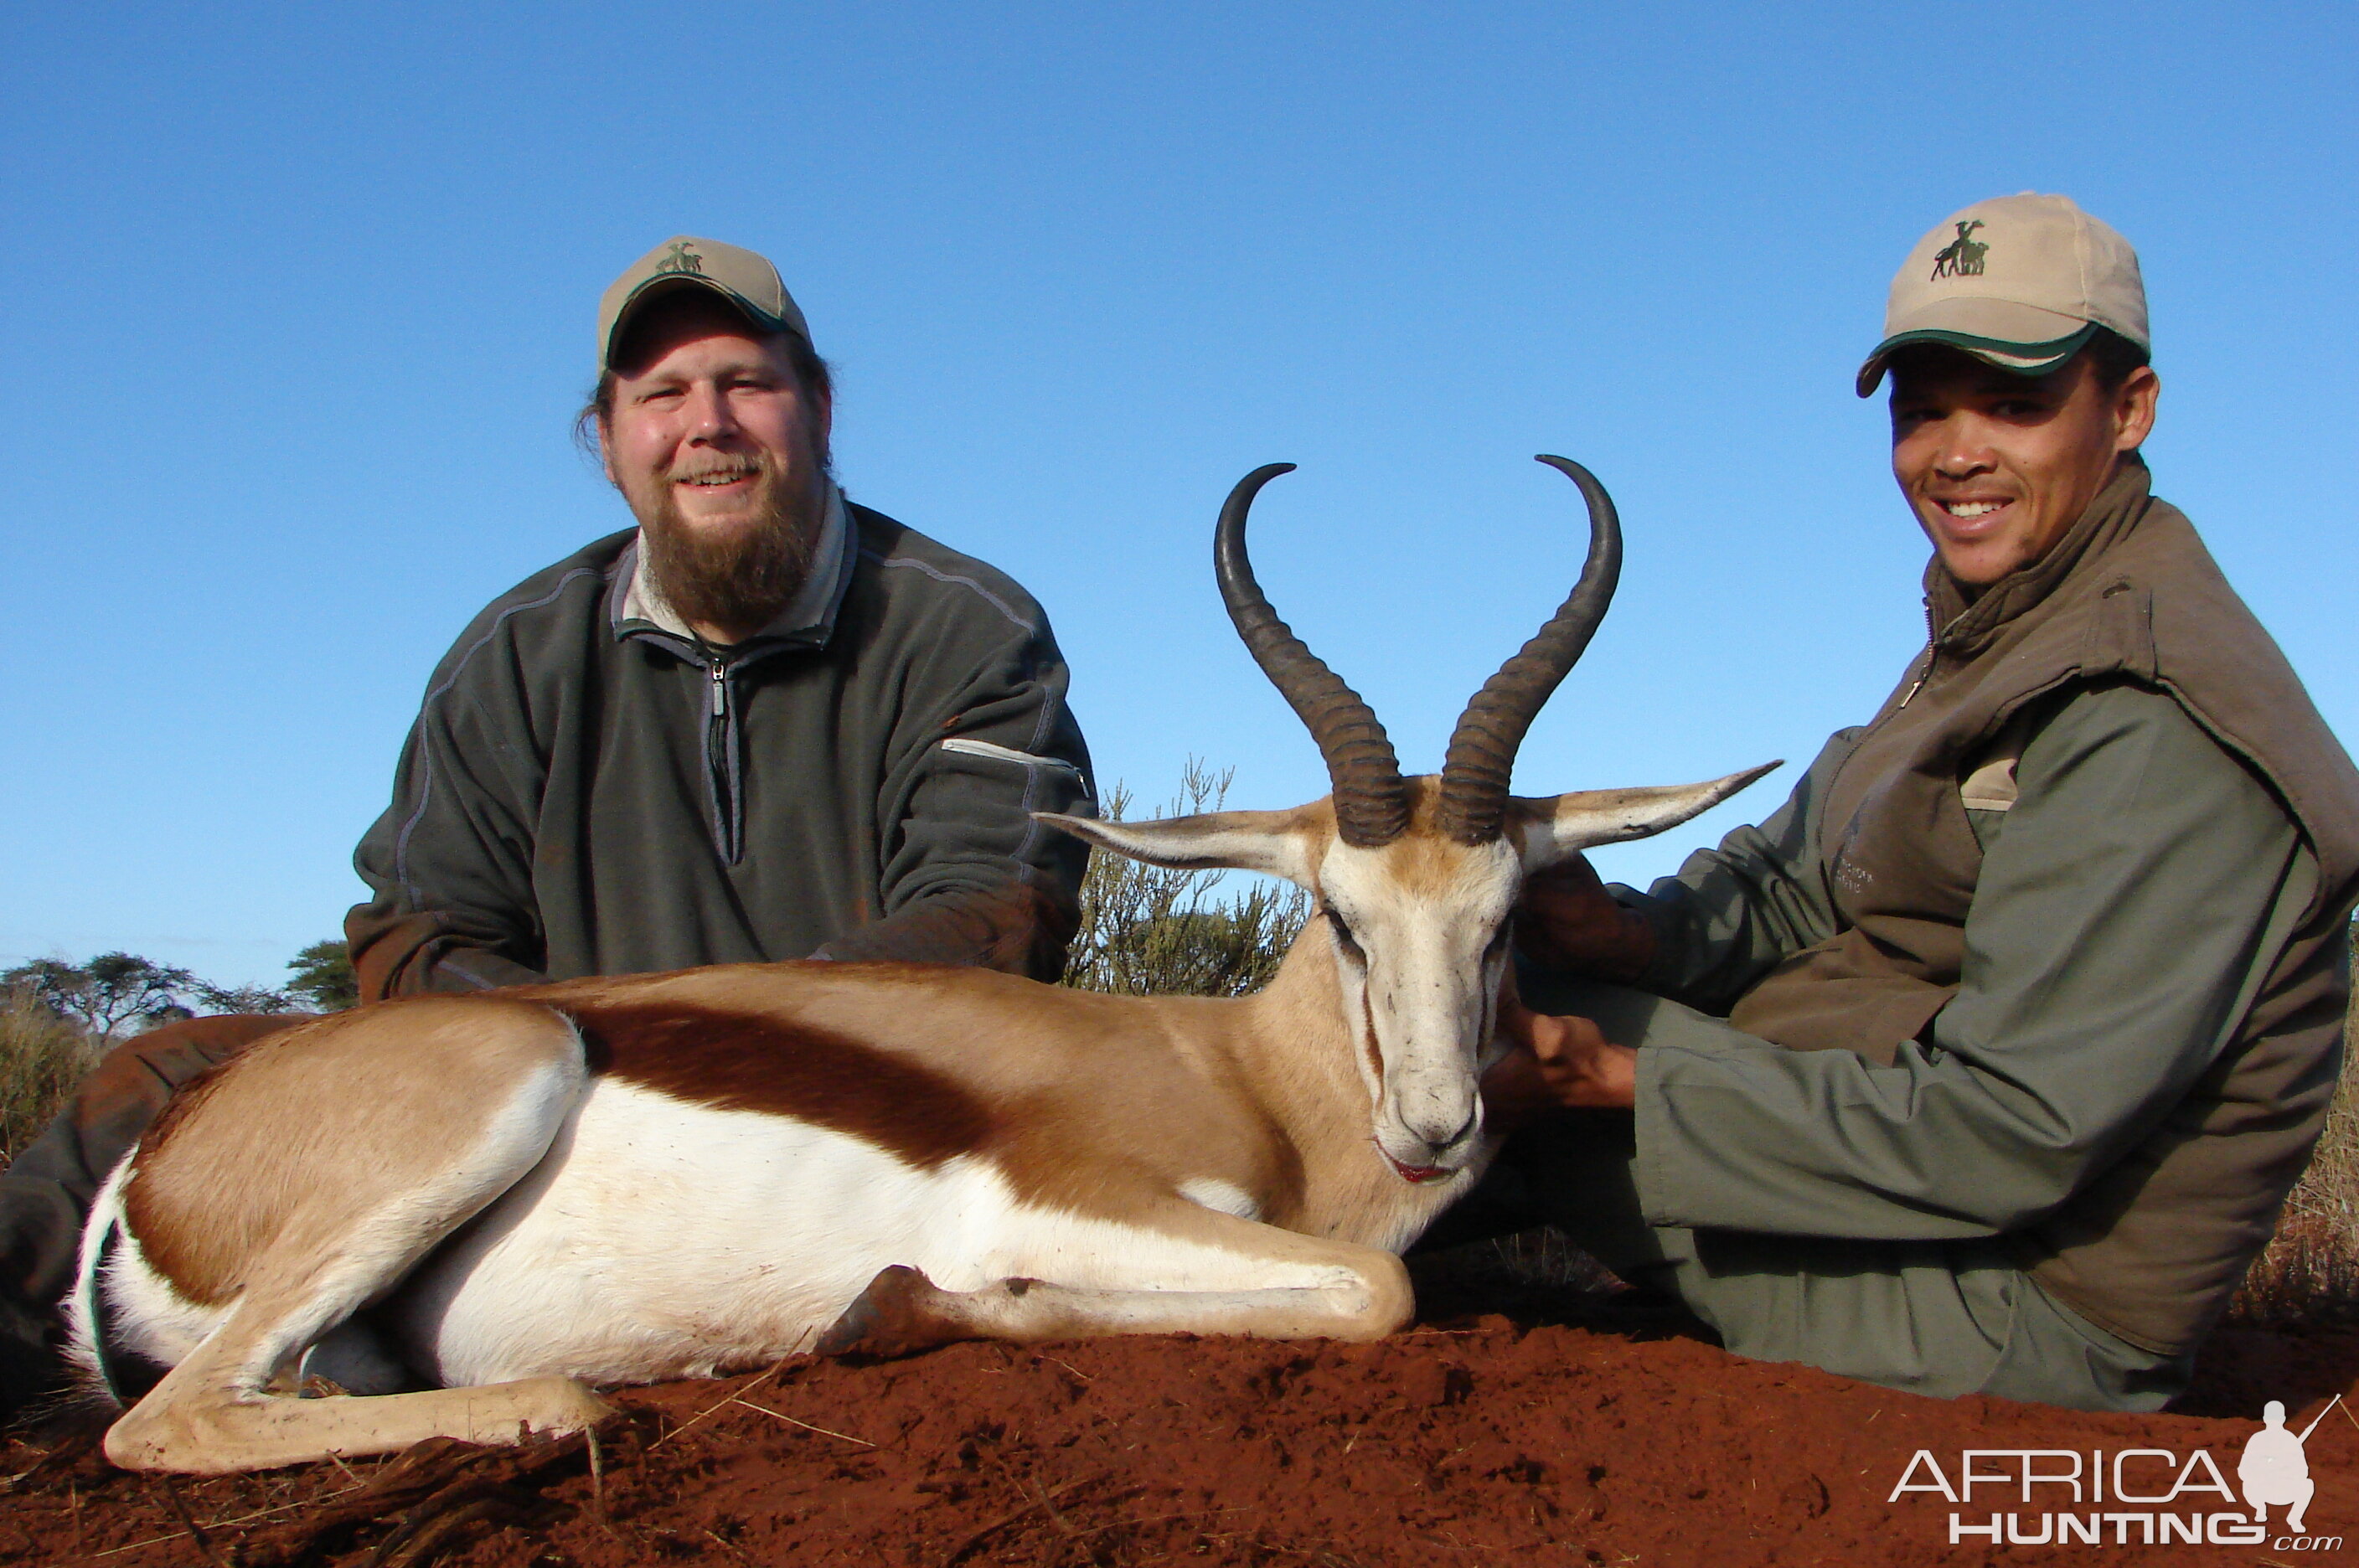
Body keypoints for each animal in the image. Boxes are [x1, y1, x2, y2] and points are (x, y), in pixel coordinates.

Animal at [65, 452, 1773, 1471]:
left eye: (1504, 921)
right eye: (1344, 918)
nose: (1435, 1126)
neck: (1243, 1077)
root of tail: (156, 1163)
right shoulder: (1081, 1198)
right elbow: (1373, 1292)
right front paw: (907, 1308)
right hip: (507, 1078)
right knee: (166, 1425)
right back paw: (570, 1397)